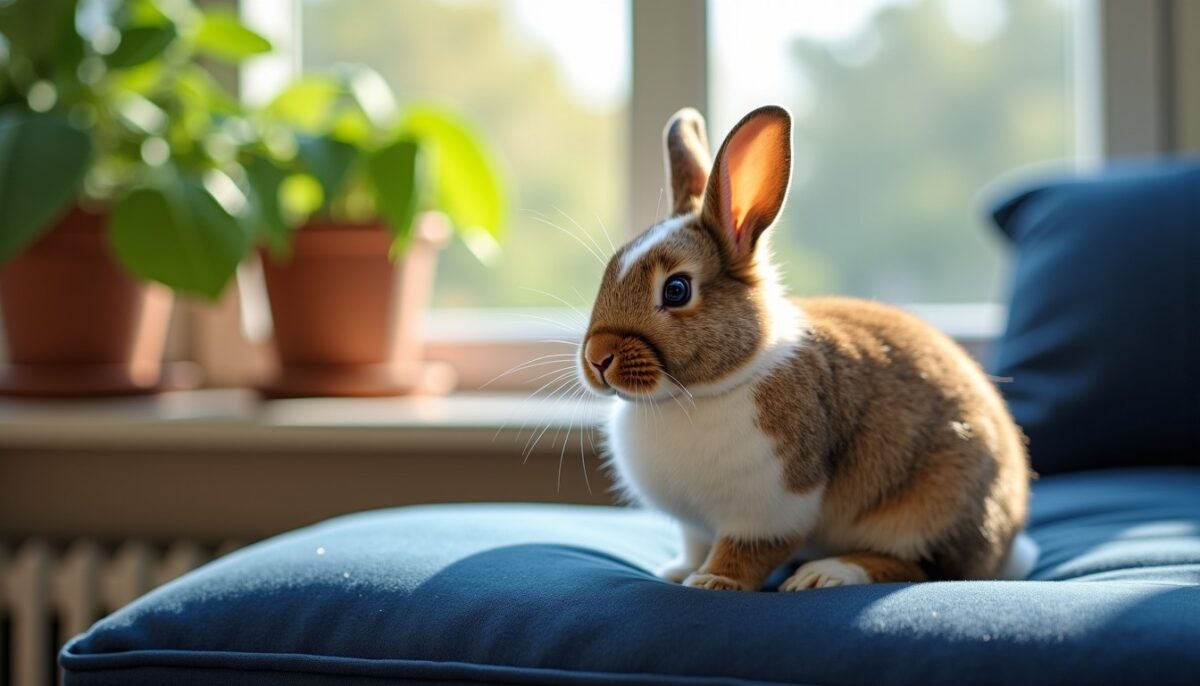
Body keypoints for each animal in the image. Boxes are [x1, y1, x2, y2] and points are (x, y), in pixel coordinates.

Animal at [577, 105, 1034, 591]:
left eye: (677, 290)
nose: (597, 358)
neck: (701, 391)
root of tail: (1006, 548)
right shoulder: (694, 525)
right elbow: (696, 542)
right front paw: (679, 570)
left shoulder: (771, 507)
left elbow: (746, 550)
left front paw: (713, 582)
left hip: (930, 513)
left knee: (921, 569)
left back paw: (823, 574)